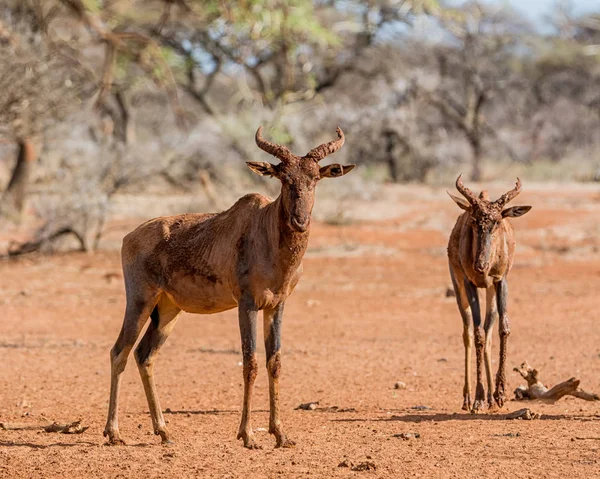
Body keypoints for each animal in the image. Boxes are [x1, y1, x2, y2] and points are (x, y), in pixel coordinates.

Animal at [103, 125, 354, 448]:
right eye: (284, 178)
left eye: (315, 178)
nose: (300, 221)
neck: (264, 230)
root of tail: (129, 237)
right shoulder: (246, 304)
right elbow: (250, 363)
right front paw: (247, 435)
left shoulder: (276, 305)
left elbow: (275, 362)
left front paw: (280, 434)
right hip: (139, 301)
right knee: (119, 352)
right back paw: (113, 432)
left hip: (168, 311)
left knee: (144, 355)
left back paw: (164, 432)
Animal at [448, 176, 532, 412]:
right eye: (474, 221)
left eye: (497, 222)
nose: (481, 266)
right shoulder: (469, 283)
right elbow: (477, 335)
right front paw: (478, 398)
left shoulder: (500, 281)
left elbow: (503, 329)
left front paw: (500, 393)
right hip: (458, 285)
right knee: (468, 331)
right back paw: (468, 399)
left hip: (490, 292)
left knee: (489, 330)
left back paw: (492, 399)